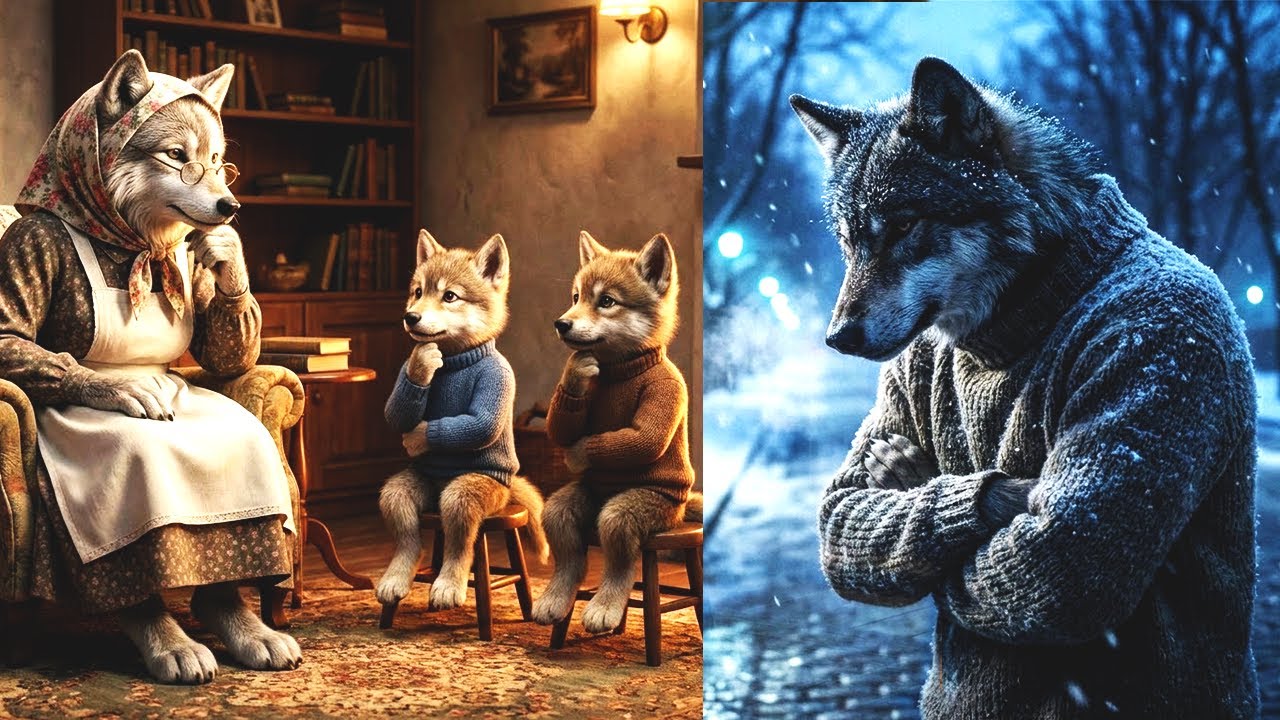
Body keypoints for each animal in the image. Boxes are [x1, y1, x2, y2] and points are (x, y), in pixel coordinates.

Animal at [376, 229, 548, 616]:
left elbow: (480, 424)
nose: (410, 317)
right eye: (418, 291)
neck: (458, 360)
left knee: (460, 543)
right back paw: (397, 578)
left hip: (469, 492)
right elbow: (395, 413)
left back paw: (448, 585)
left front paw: (421, 436)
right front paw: (422, 362)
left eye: (450, 296)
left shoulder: (498, 380)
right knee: (408, 535)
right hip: (403, 489)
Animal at [530, 231, 695, 634]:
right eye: (576, 297)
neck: (626, 369)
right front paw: (575, 371)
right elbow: (560, 427)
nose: (561, 324)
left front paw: (578, 453)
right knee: (566, 543)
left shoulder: (667, 390)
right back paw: (556, 600)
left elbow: (643, 440)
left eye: (606, 301)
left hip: (634, 510)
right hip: (570, 503)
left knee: (620, 556)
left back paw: (604, 607)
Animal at [792, 57, 1257, 717]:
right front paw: (905, 474)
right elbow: (847, 501)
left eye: (904, 226)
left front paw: (934, 479)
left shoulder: (1162, 335)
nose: (836, 337)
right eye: (848, 239)